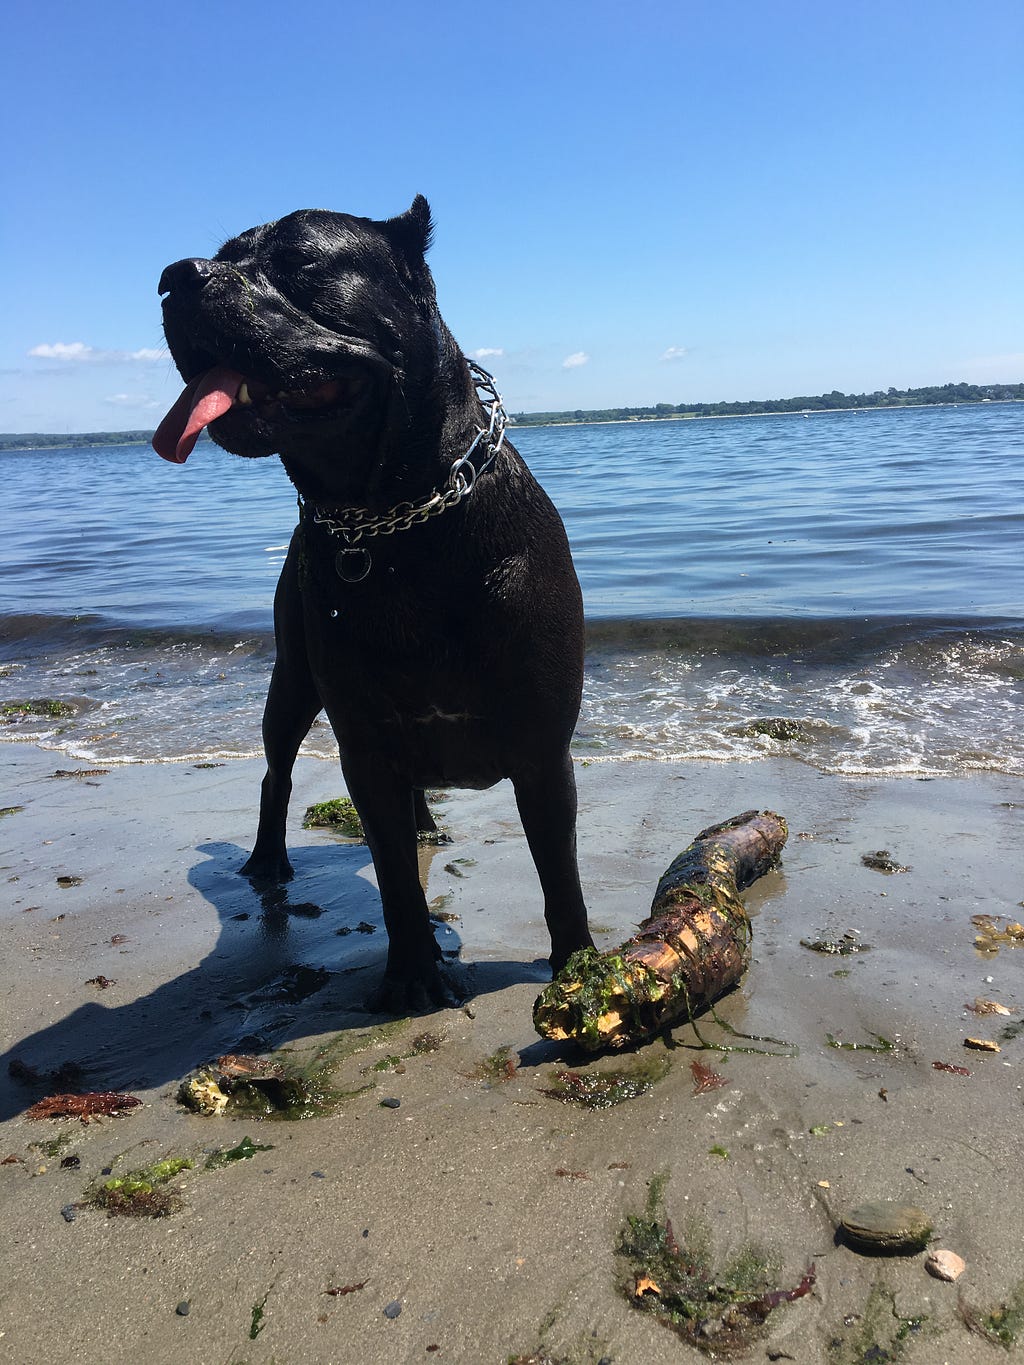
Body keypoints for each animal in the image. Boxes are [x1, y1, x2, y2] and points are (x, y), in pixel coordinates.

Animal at [152, 192, 592, 1010]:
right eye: (223, 255)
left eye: (299, 260)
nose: (174, 277)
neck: (397, 521)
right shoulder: (364, 747)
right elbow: (393, 883)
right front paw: (413, 975)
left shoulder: (543, 748)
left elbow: (559, 874)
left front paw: (582, 971)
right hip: (292, 681)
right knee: (277, 772)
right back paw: (268, 861)